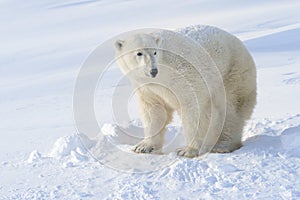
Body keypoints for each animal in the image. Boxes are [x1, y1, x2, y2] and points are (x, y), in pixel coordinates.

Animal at [113, 25, 256, 158]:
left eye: (155, 52)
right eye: (139, 53)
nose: (153, 70)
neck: (162, 74)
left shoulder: (184, 76)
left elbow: (193, 109)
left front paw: (187, 150)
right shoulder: (147, 87)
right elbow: (154, 111)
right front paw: (144, 147)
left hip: (232, 73)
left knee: (230, 109)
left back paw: (222, 145)